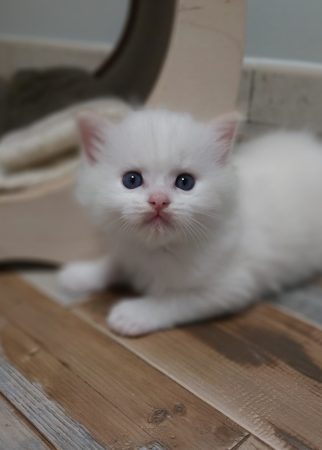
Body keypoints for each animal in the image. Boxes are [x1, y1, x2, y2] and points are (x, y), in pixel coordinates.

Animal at [58, 108, 322, 334]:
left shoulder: (232, 286)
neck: (157, 250)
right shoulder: (128, 249)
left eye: (185, 182)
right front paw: (81, 274)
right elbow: (115, 263)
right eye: (131, 180)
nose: (159, 200)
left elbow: (175, 300)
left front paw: (134, 314)